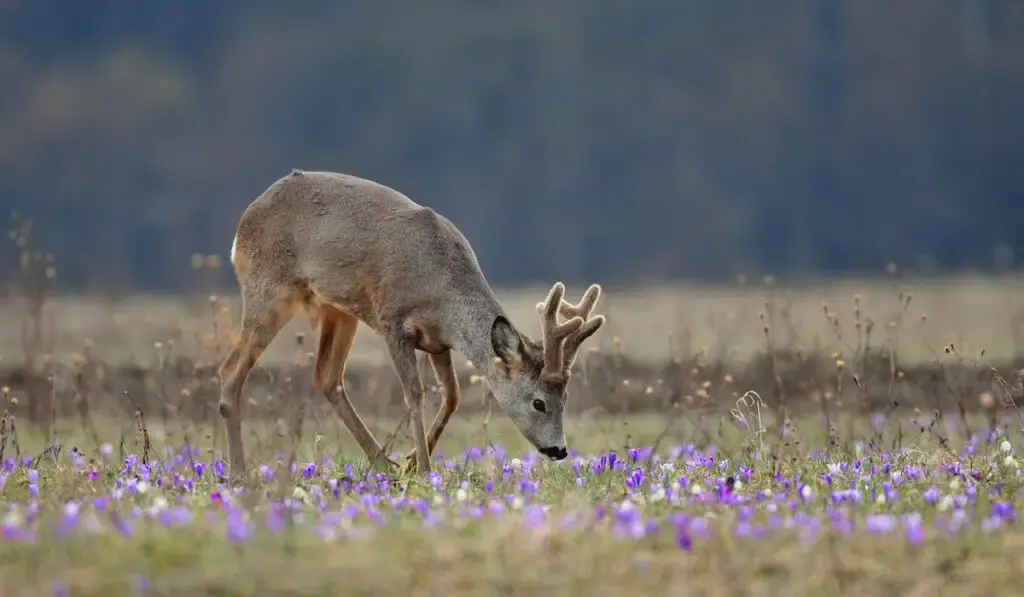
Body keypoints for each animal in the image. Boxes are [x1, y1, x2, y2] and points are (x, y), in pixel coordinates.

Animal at [220, 167, 602, 477]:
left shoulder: (438, 341)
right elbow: (415, 393)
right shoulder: (393, 321)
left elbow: (452, 396)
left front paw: (412, 461)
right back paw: (239, 471)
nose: (559, 450)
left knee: (327, 378)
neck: (441, 287)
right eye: (538, 402)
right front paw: (425, 469)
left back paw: (383, 463)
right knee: (230, 371)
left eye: (565, 398)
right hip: (269, 292)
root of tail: (242, 225)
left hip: (337, 310)